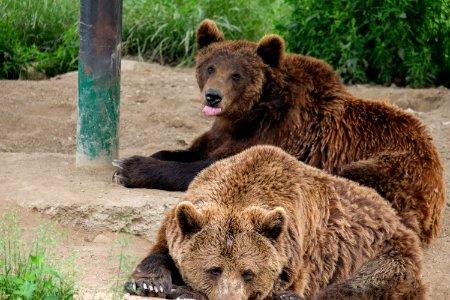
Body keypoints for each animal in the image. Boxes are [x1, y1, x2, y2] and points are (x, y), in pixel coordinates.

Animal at [113, 18, 446, 244]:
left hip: (395, 167)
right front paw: (132, 160)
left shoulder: (278, 134)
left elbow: (215, 168)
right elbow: (190, 150)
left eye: (237, 74)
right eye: (210, 67)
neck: (247, 115)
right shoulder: (220, 133)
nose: (213, 96)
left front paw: (129, 167)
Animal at [125, 146, 428, 300]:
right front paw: (151, 284)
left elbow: (281, 286)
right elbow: (160, 252)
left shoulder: (296, 250)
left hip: (385, 253)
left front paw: (184, 293)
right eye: (214, 269)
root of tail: (394, 214)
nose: (229, 299)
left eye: (248, 272)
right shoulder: (179, 224)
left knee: (359, 286)